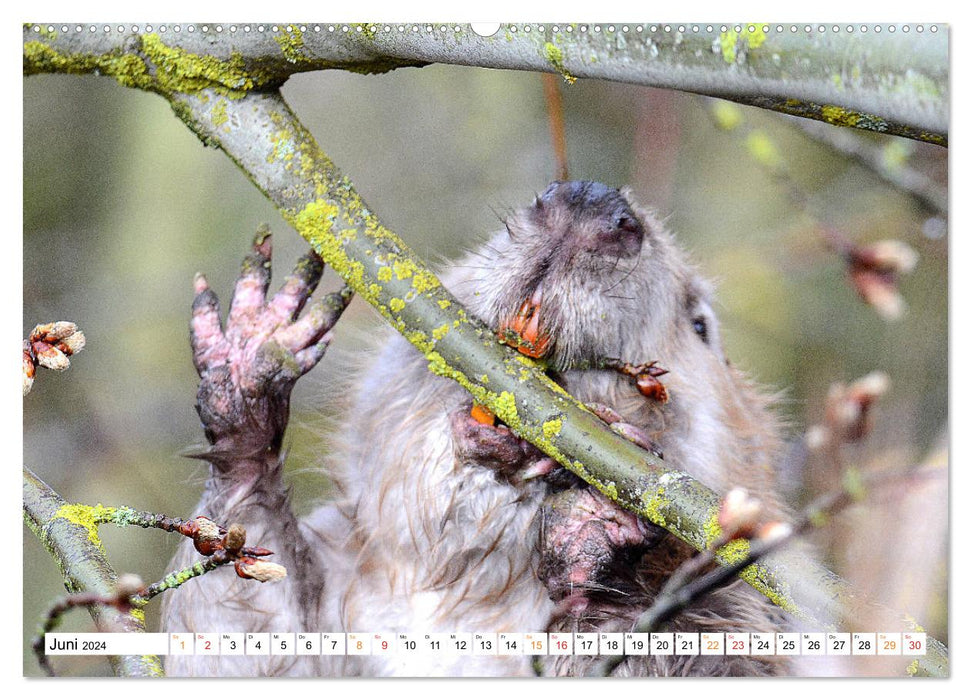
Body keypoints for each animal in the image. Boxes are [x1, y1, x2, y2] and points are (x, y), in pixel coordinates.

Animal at [161, 182, 788, 680]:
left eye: (701, 324)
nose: (593, 199)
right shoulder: (350, 575)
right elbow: (237, 629)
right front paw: (254, 349)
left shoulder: (743, 622)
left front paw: (598, 522)